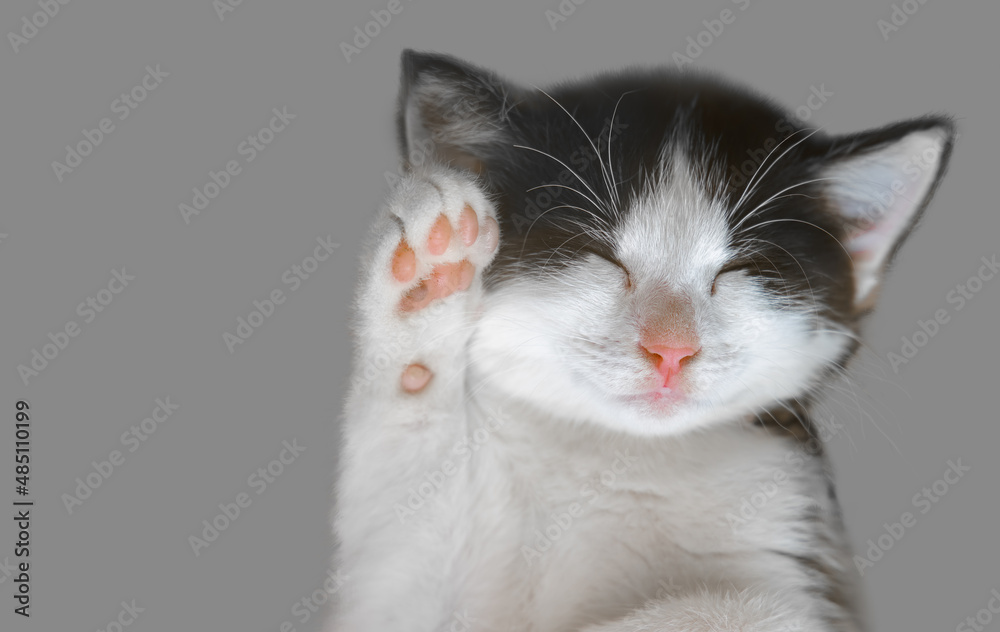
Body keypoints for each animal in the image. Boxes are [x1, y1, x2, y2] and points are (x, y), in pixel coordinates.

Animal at [326, 50, 952, 632]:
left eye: (742, 269)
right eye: (596, 253)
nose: (671, 348)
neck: (617, 456)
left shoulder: (796, 530)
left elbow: (757, 611)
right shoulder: (395, 596)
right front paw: (429, 283)